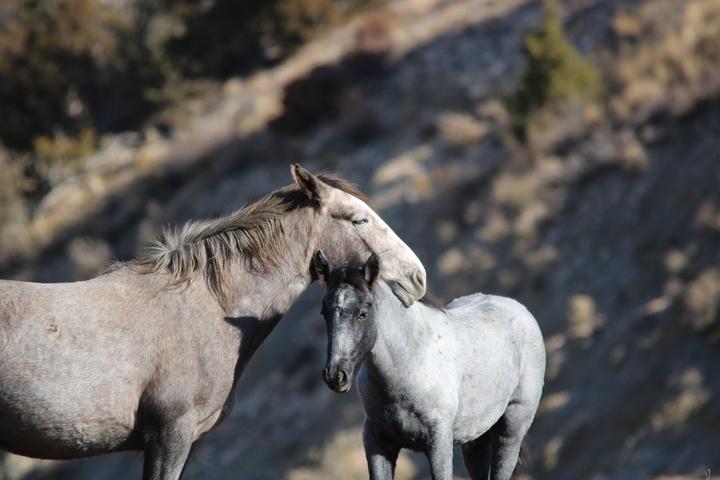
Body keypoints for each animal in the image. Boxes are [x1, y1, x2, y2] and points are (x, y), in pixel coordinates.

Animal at [312, 251, 544, 480]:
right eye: (324, 312)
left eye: (362, 313)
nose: (335, 375)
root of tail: (521, 310)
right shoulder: (377, 444)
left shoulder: (438, 444)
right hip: (475, 441)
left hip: (511, 430)